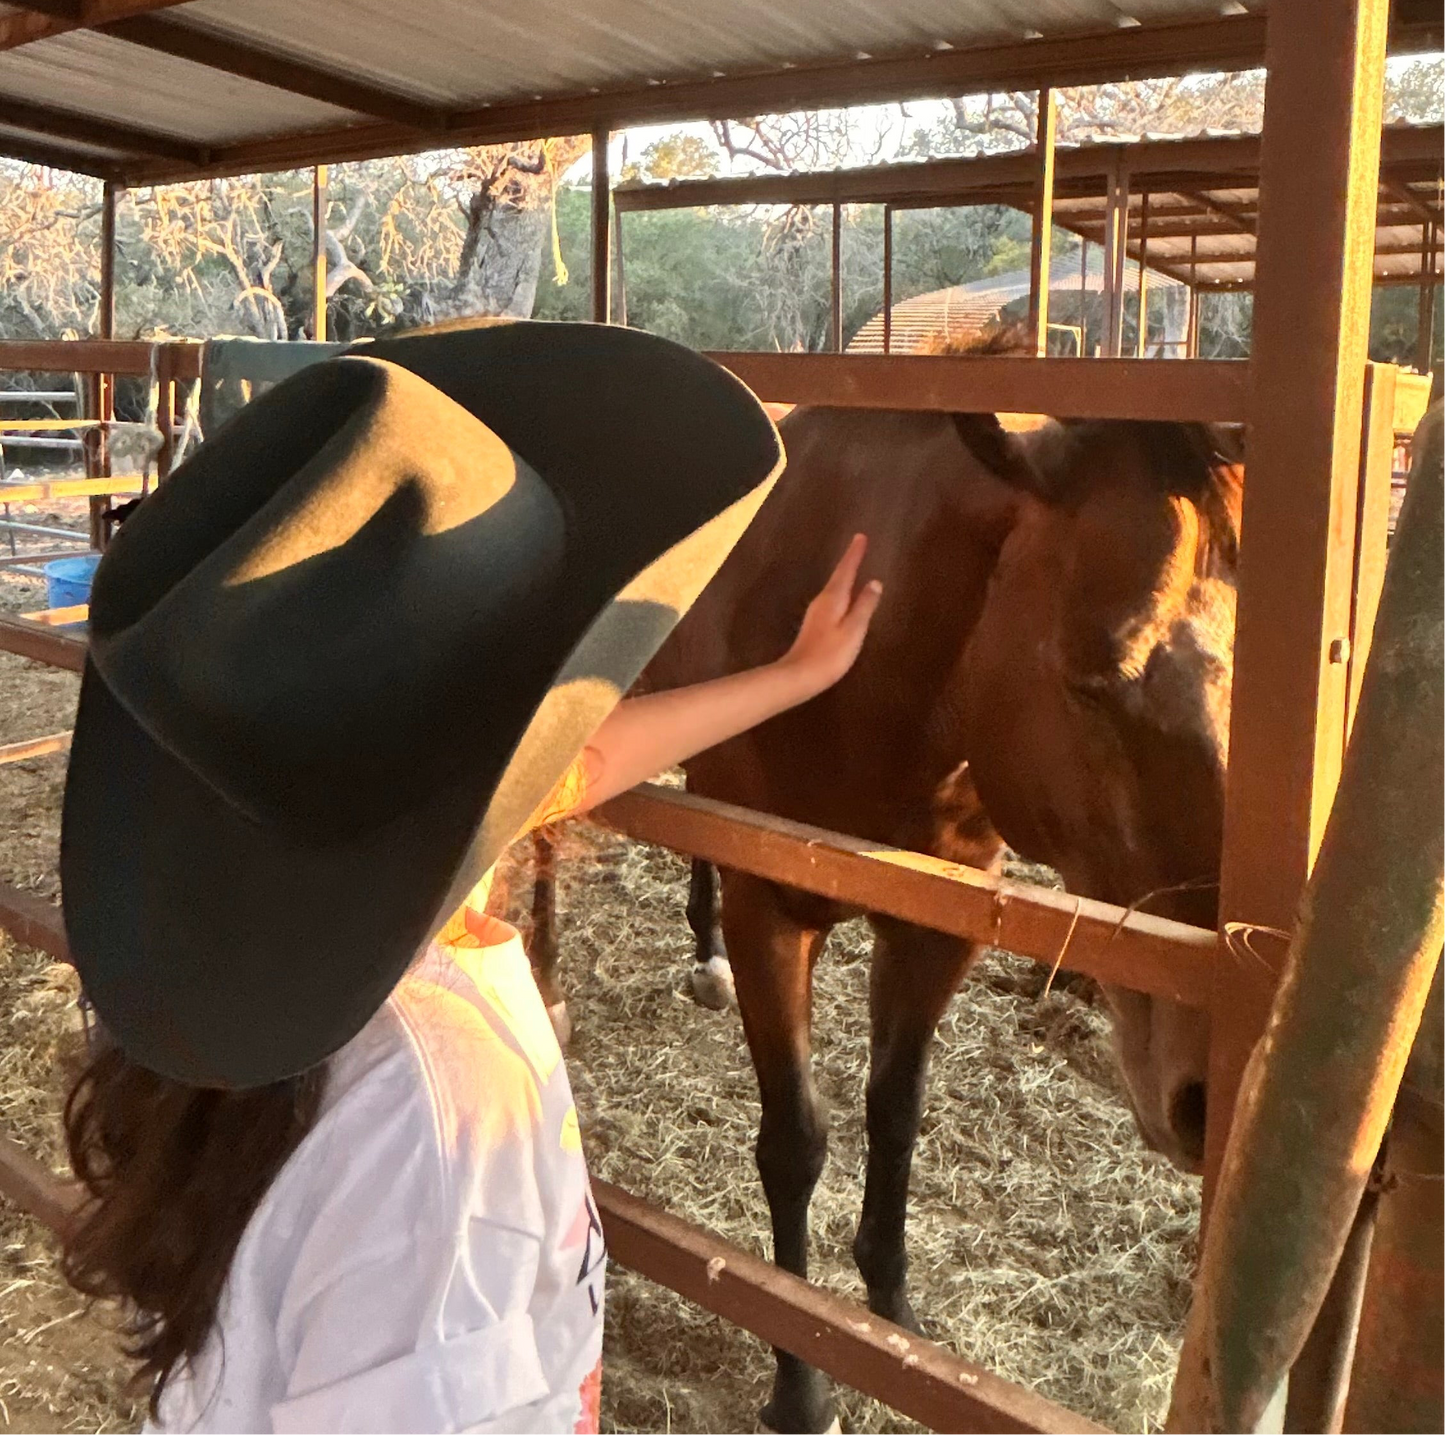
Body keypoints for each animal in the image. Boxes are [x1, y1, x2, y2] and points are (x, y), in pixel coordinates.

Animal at [527, 390, 1239, 1435]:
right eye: (1091, 676)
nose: (1201, 1096)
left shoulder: (937, 925)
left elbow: (894, 1112)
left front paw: (891, 1317)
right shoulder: (775, 914)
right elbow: (794, 1142)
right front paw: (800, 1378)